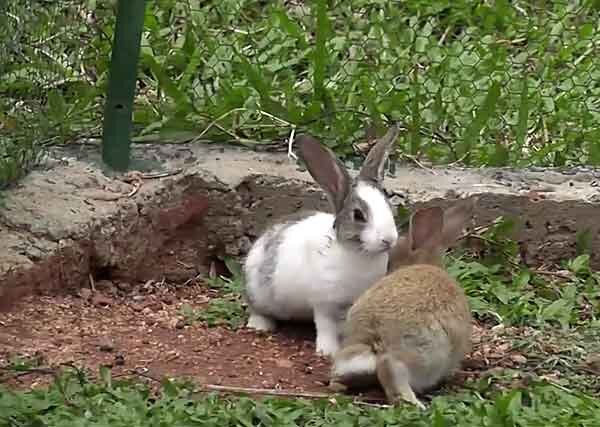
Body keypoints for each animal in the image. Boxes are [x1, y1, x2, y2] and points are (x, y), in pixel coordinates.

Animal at [241, 125, 400, 356]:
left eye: (389, 206)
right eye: (358, 215)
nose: (389, 239)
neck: (358, 253)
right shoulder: (324, 303)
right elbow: (325, 326)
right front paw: (328, 351)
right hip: (258, 291)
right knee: (258, 309)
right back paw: (260, 325)